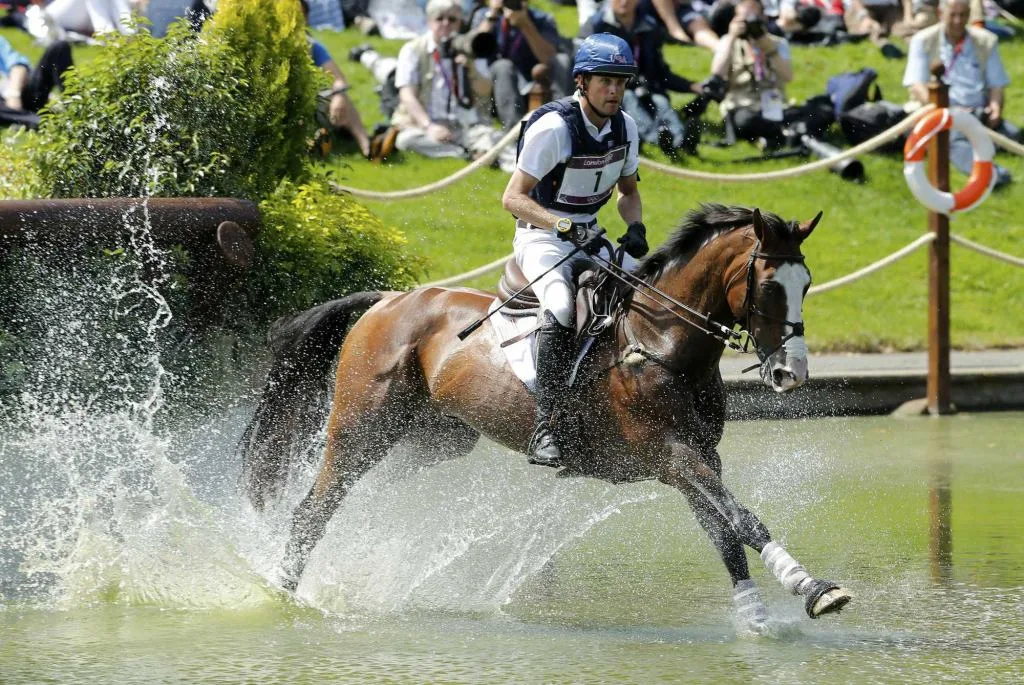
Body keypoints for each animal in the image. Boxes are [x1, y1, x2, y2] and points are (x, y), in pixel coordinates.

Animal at [238, 203, 852, 626]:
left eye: (806, 283)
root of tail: (389, 300)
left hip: (431, 440)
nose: (791, 373)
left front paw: (756, 617)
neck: (662, 342)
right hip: (363, 428)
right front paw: (811, 587)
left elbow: (722, 529)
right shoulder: (672, 456)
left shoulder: (698, 458)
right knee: (314, 509)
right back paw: (279, 591)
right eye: (769, 287)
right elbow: (741, 519)